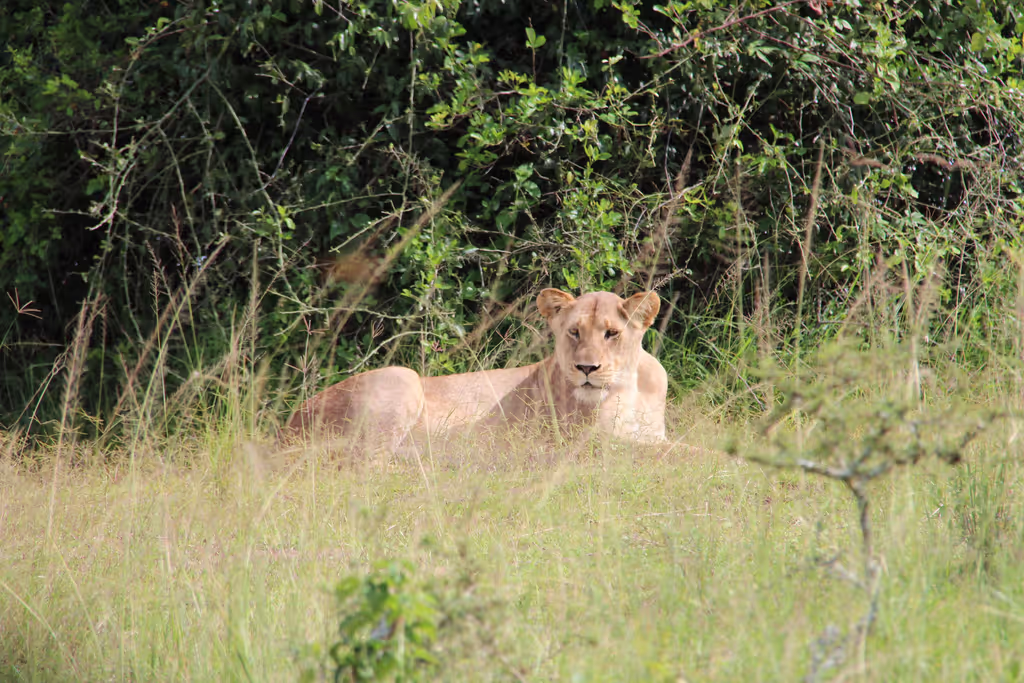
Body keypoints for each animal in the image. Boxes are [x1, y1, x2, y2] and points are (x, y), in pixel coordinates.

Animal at [284, 288, 668, 452]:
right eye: (574, 332)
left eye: (611, 333)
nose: (586, 367)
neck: (631, 386)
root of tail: (283, 430)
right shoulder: (595, 442)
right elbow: (673, 454)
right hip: (402, 377)